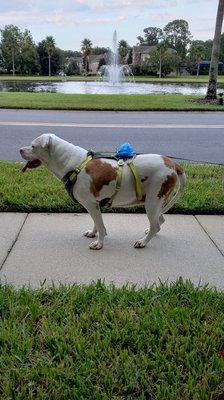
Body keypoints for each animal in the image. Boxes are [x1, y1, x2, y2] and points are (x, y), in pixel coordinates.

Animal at [20, 134, 186, 250]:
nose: (20, 149)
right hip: (157, 202)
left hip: (152, 202)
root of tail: (173, 164)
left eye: (33, 146)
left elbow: (101, 226)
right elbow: (96, 222)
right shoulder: (94, 204)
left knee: (156, 224)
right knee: (160, 220)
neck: (73, 164)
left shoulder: (90, 204)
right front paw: (93, 233)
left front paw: (99, 244)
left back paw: (143, 242)